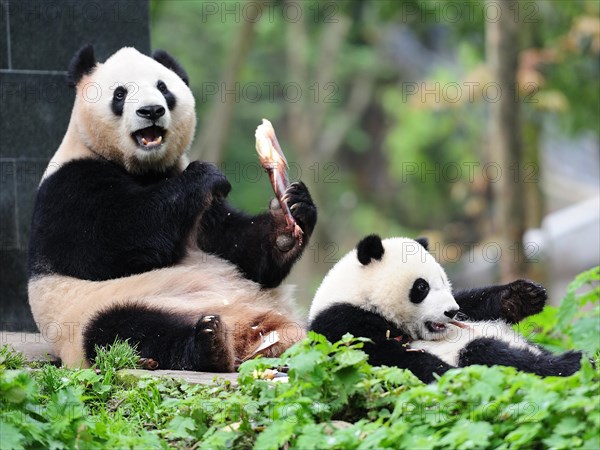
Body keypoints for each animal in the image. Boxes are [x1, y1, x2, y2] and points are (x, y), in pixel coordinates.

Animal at [27, 44, 318, 372]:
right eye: (120, 94)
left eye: (163, 88)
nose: (151, 111)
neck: (146, 170)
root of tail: (252, 331)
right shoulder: (69, 186)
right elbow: (110, 244)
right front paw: (205, 175)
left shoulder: (204, 213)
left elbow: (237, 249)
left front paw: (290, 217)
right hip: (100, 311)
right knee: (127, 330)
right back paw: (208, 344)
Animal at [310, 236, 580, 384]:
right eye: (422, 286)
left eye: (443, 280)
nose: (450, 312)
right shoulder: (342, 323)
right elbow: (386, 358)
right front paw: (449, 376)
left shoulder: (466, 308)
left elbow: (473, 303)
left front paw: (524, 295)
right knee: (488, 353)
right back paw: (571, 363)